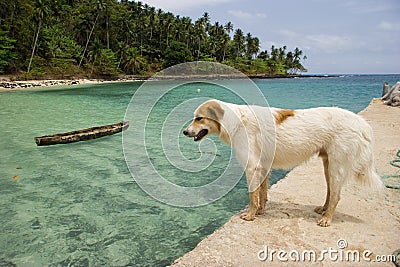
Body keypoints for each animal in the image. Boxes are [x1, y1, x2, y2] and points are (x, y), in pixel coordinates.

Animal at [183, 99, 382, 227]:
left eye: (199, 118)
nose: (184, 132)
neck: (236, 122)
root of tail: (361, 122)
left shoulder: (252, 167)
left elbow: (253, 196)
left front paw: (251, 215)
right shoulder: (263, 166)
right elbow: (262, 193)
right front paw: (261, 211)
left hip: (336, 167)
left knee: (336, 196)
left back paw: (327, 219)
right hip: (328, 166)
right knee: (330, 191)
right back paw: (323, 210)